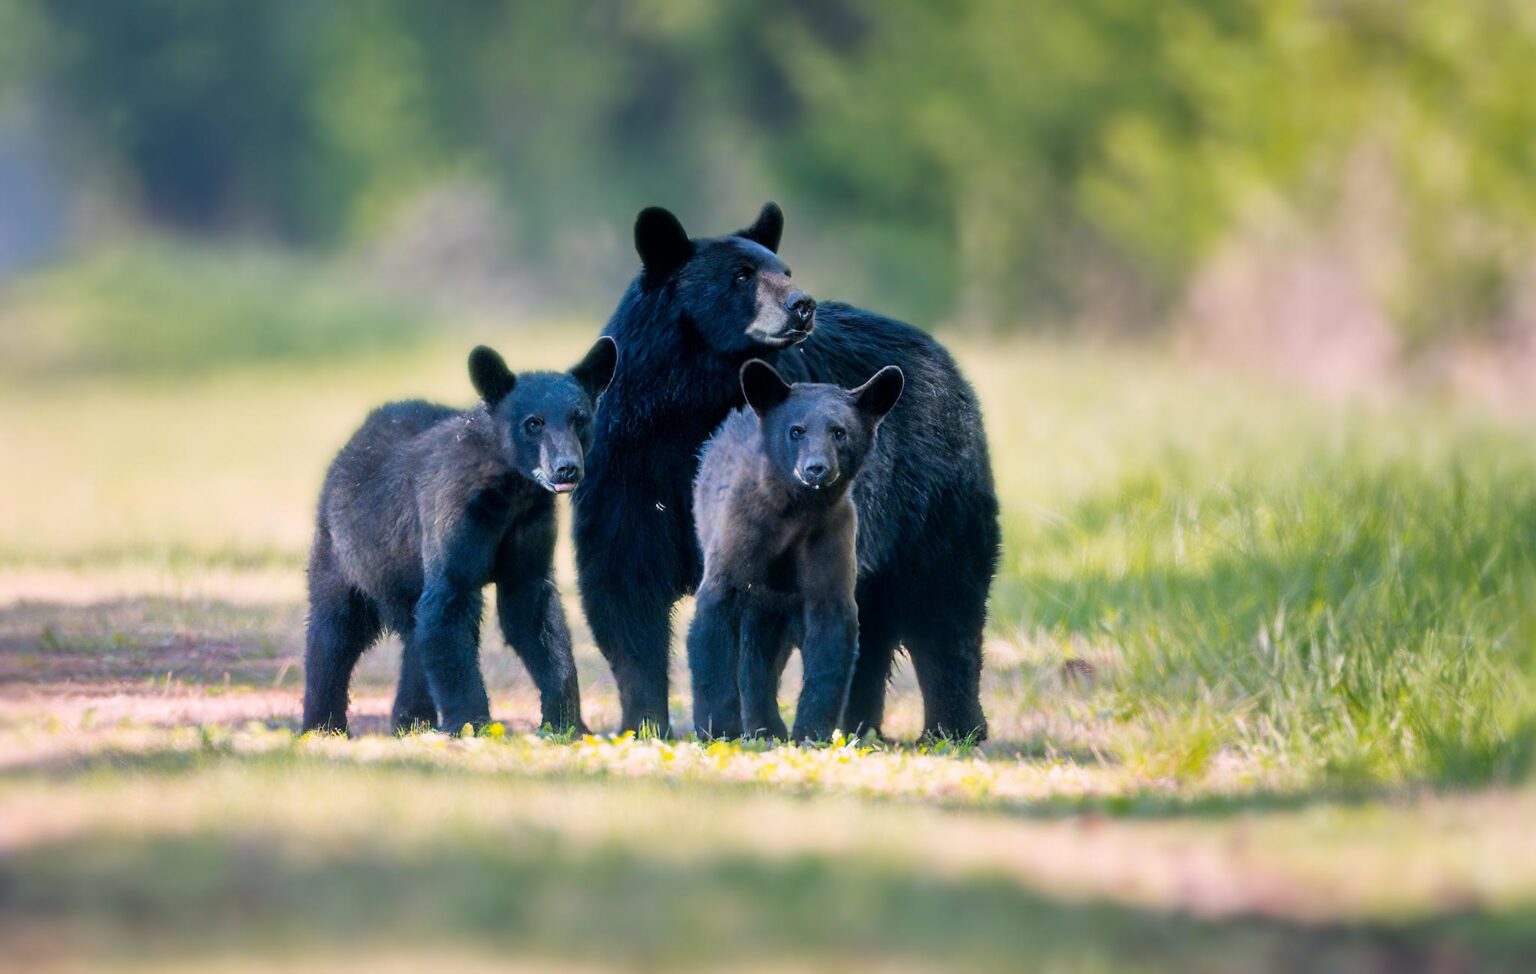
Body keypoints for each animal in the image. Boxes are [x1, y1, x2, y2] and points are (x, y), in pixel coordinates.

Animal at [302, 333, 614, 728]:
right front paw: (472, 723)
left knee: (414, 634)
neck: (510, 492)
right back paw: (323, 725)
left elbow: (532, 611)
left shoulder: (529, 527)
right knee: (334, 632)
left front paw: (566, 721)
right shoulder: (453, 512)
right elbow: (449, 605)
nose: (566, 468)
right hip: (346, 552)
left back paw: (410, 720)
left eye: (580, 419)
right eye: (533, 423)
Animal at [691, 361, 903, 740]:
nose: (816, 468)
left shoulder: (830, 543)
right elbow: (713, 631)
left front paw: (811, 732)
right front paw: (717, 729)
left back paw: (767, 727)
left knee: (763, 656)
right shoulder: (738, 540)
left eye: (839, 432)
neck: (796, 514)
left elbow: (831, 642)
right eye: (796, 430)